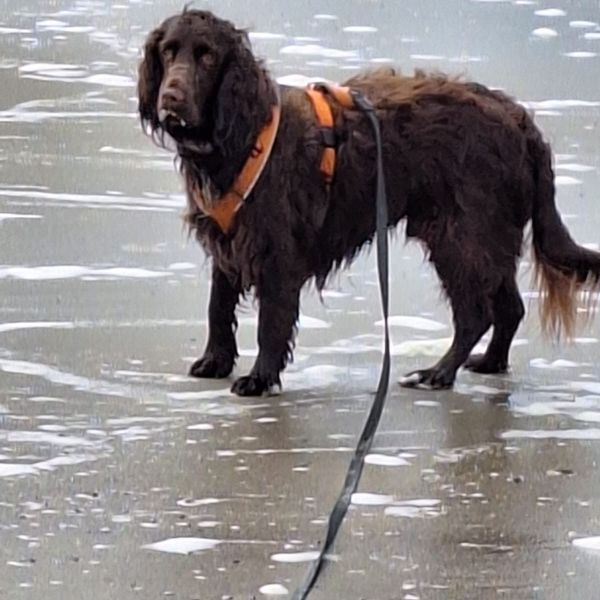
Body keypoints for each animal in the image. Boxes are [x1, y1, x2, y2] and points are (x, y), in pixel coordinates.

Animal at [137, 8, 600, 398]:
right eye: (168, 51)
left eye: (208, 56)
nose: (171, 98)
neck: (239, 133)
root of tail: (520, 120)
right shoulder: (229, 238)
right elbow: (218, 304)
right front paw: (215, 360)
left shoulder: (277, 251)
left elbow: (271, 322)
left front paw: (260, 377)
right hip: (486, 235)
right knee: (509, 308)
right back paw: (488, 362)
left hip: (461, 234)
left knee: (476, 313)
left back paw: (438, 372)